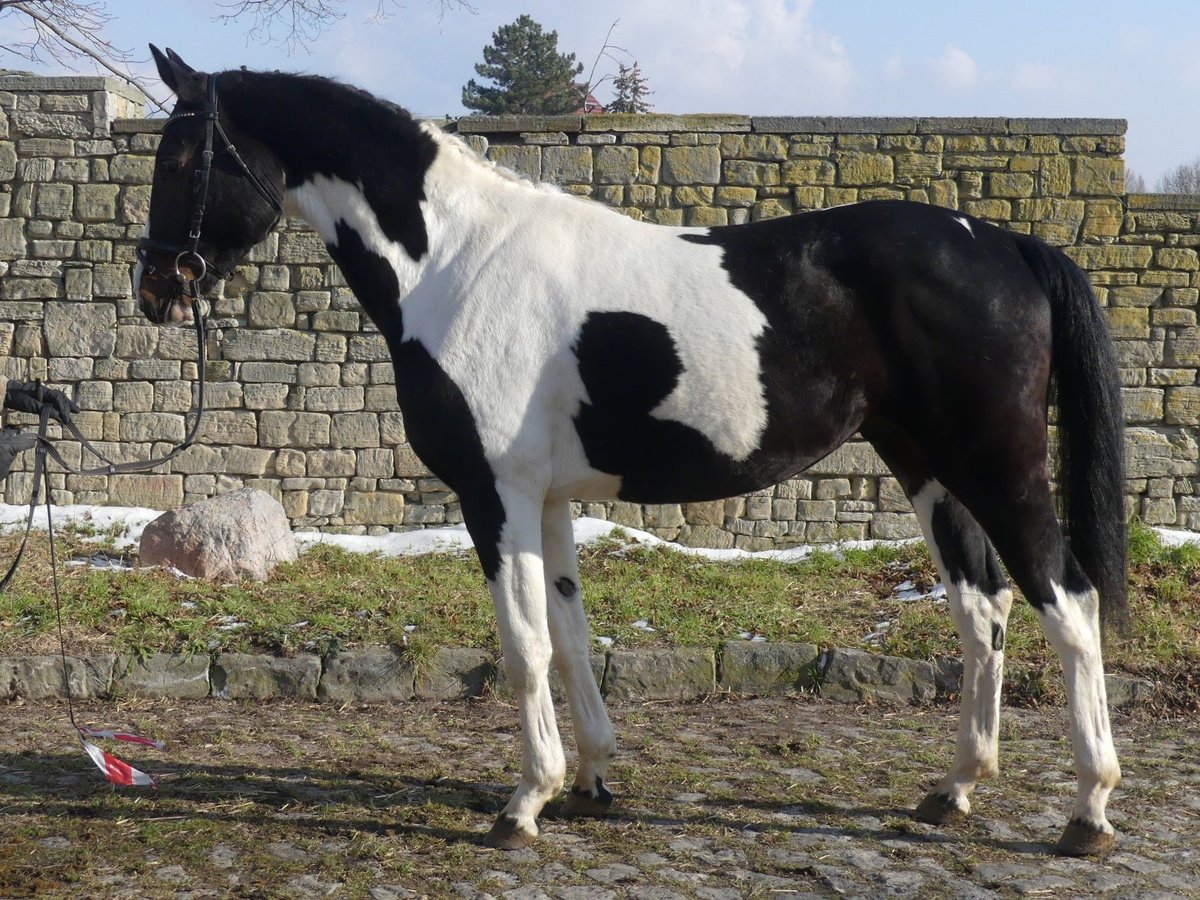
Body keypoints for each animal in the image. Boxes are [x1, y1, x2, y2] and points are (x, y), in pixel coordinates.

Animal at [136, 49, 1128, 859]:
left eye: (180, 159)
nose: (153, 289)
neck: (456, 261)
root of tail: (1007, 244)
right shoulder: (547, 499)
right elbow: (570, 635)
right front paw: (590, 782)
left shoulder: (494, 495)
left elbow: (524, 644)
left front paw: (523, 804)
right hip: (925, 464)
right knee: (982, 608)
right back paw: (954, 790)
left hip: (996, 467)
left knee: (1068, 604)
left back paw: (1088, 811)